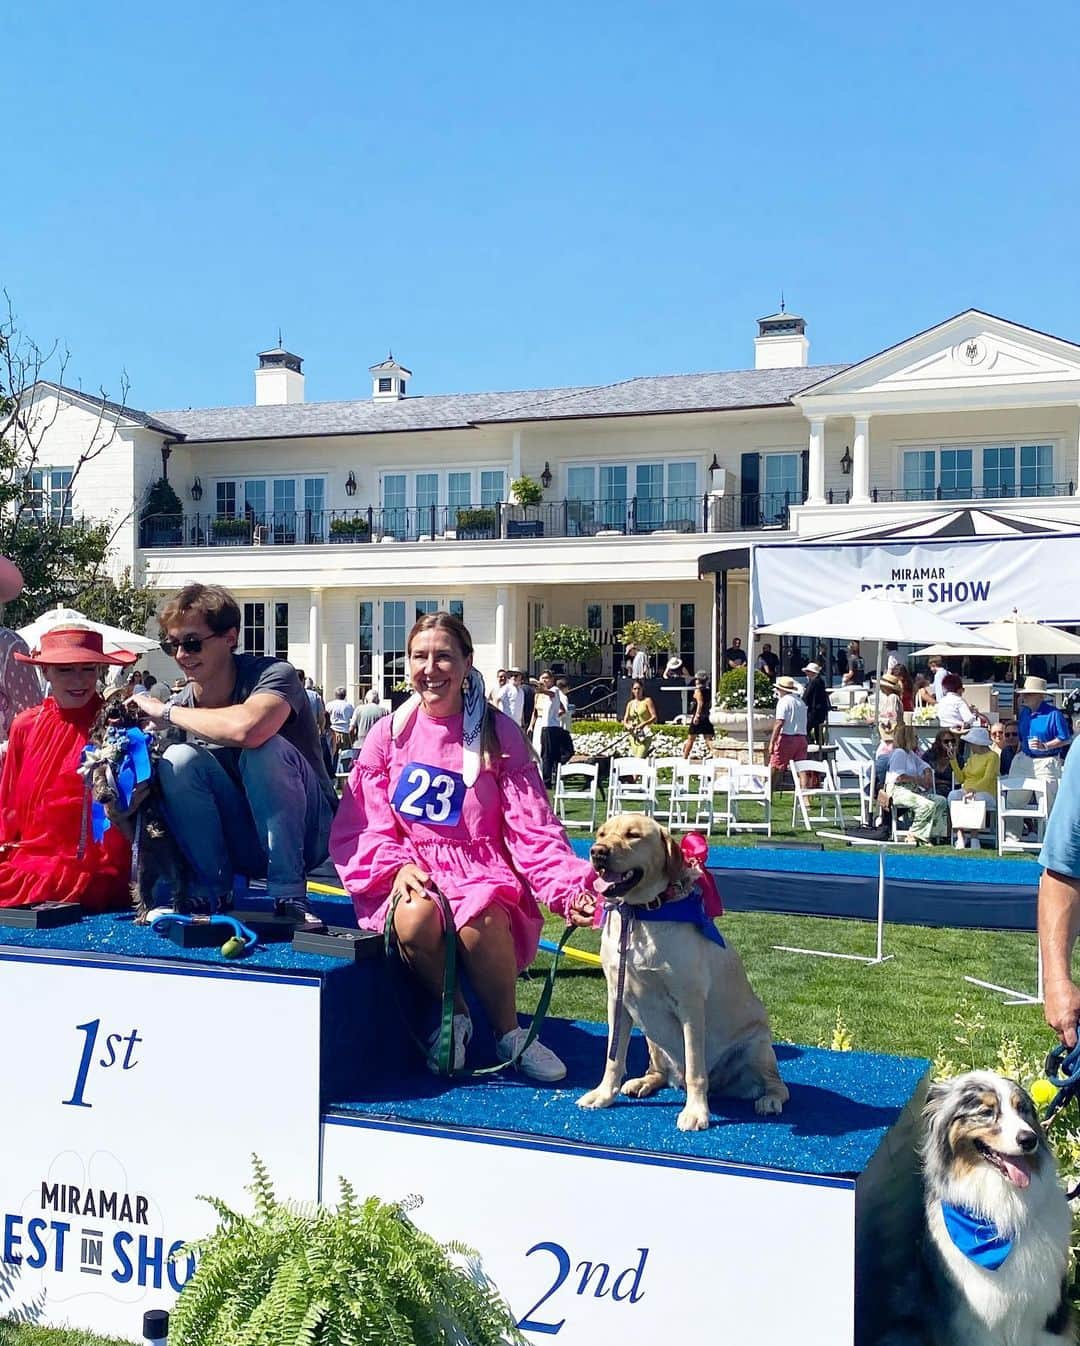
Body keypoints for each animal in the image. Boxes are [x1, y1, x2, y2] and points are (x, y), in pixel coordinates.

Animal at [576, 812, 786, 1130]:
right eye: (601, 834)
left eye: (633, 835)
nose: (597, 852)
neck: (641, 914)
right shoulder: (617, 998)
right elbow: (613, 1058)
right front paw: (603, 1095)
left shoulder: (689, 1005)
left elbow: (695, 1069)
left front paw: (696, 1112)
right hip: (651, 1037)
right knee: (659, 1071)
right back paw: (642, 1082)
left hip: (757, 1046)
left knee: (778, 1085)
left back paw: (770, 1099)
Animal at [878, 1071, 1071, 1346]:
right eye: (986, 1111)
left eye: (1021, 1109)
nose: (1029, 1139)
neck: (1002, 1207)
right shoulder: (976, 1321)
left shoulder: (1045, 1314)